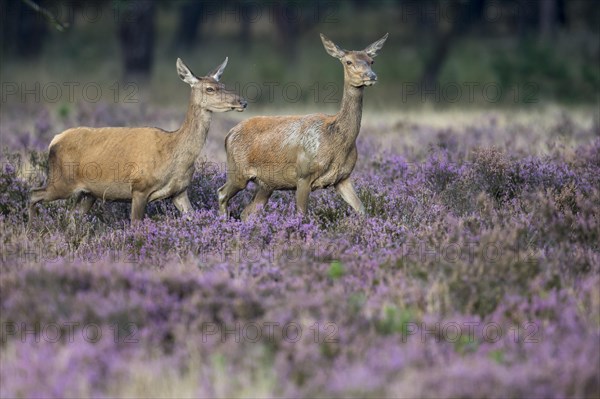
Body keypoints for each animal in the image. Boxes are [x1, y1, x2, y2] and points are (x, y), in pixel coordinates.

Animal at [29, 57, 246, 223]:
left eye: (222, 85)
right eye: (210, 89)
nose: (242, 101)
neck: (173, 151)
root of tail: (54, 140)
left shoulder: (179, 191)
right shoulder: (139, 188)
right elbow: (135, 225)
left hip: (87, 193)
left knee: (72, 216)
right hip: (61, 181)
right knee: (34, 194)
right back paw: (33, 226)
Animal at [220, 33, 390, 222]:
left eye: (371, 61)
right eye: (348, 61)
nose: (371, 76)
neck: (337, 142)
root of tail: (229, 134)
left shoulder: (343, 177)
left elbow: (361, 209)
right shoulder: (303, 176)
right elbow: (302, 215)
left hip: (266, 184)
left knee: (247, 212)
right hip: (238, 171)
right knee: (222, 194)